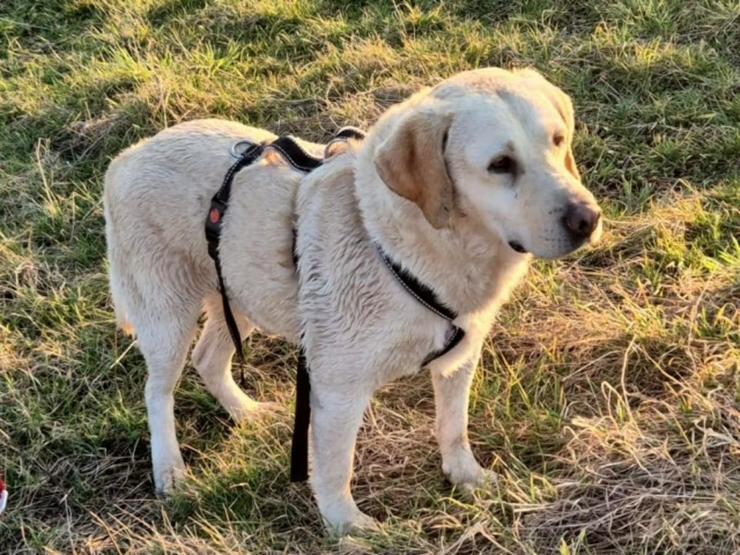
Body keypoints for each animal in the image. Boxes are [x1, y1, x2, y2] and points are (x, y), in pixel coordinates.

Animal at [104, 67, 600, 532]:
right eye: (500, 164)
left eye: (558, 141)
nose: (589, 219)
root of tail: (125, 158)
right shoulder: (336, 387)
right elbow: (334, 468)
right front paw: (346, 527)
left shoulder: (457, 360)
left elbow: (453, 428)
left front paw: (467, 478)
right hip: (169, 318)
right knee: (158, 392)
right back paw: (171, 471)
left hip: (243, 294)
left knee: (208, 358)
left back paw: (246, 413)